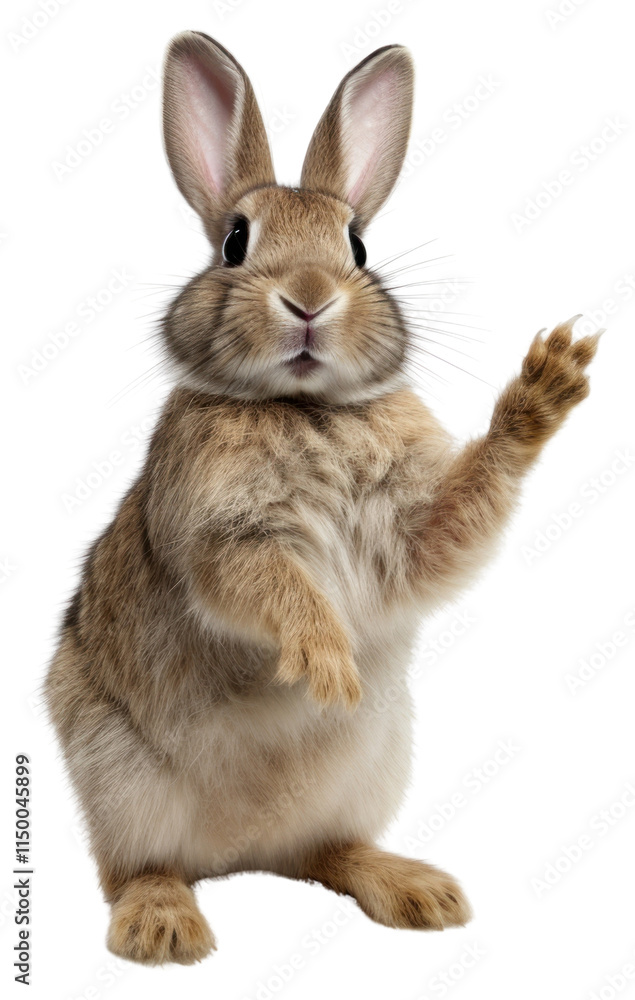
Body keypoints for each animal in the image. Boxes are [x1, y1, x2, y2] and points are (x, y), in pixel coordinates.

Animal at [45, 30, 601, 966]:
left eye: (359, 247)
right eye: (235, 241)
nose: (309, 299)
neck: (305, 408)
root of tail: (239, 852)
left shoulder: (412, 528)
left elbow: (454, 521)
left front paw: (549, 383)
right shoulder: (221, 534)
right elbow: (270, 584)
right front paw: (328, 663)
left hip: (370, 770)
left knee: (325, 852)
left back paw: (416, 891)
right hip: (116, 772)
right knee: (135, 868)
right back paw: (163, 926)